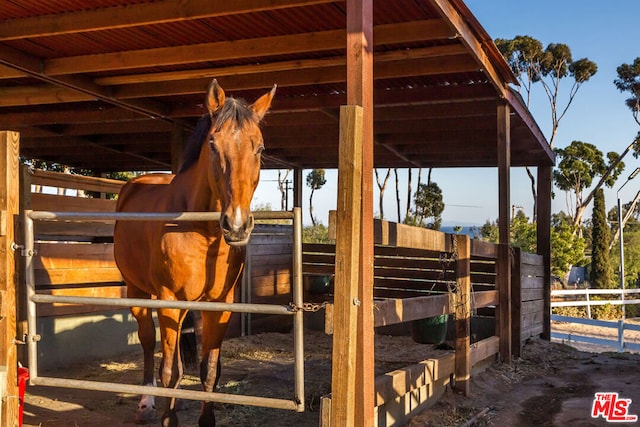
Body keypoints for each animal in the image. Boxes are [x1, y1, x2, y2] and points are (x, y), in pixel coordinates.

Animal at [114, 81, 274, 427]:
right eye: (213, 144)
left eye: (259, 148)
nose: (236, 225)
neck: (204, 233)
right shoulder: (168, 301)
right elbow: (170, 371)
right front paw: (168, 418)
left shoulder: (220, 305)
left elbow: (209, 369)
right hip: (138, 292)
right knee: (147, 342)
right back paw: (146, 403)